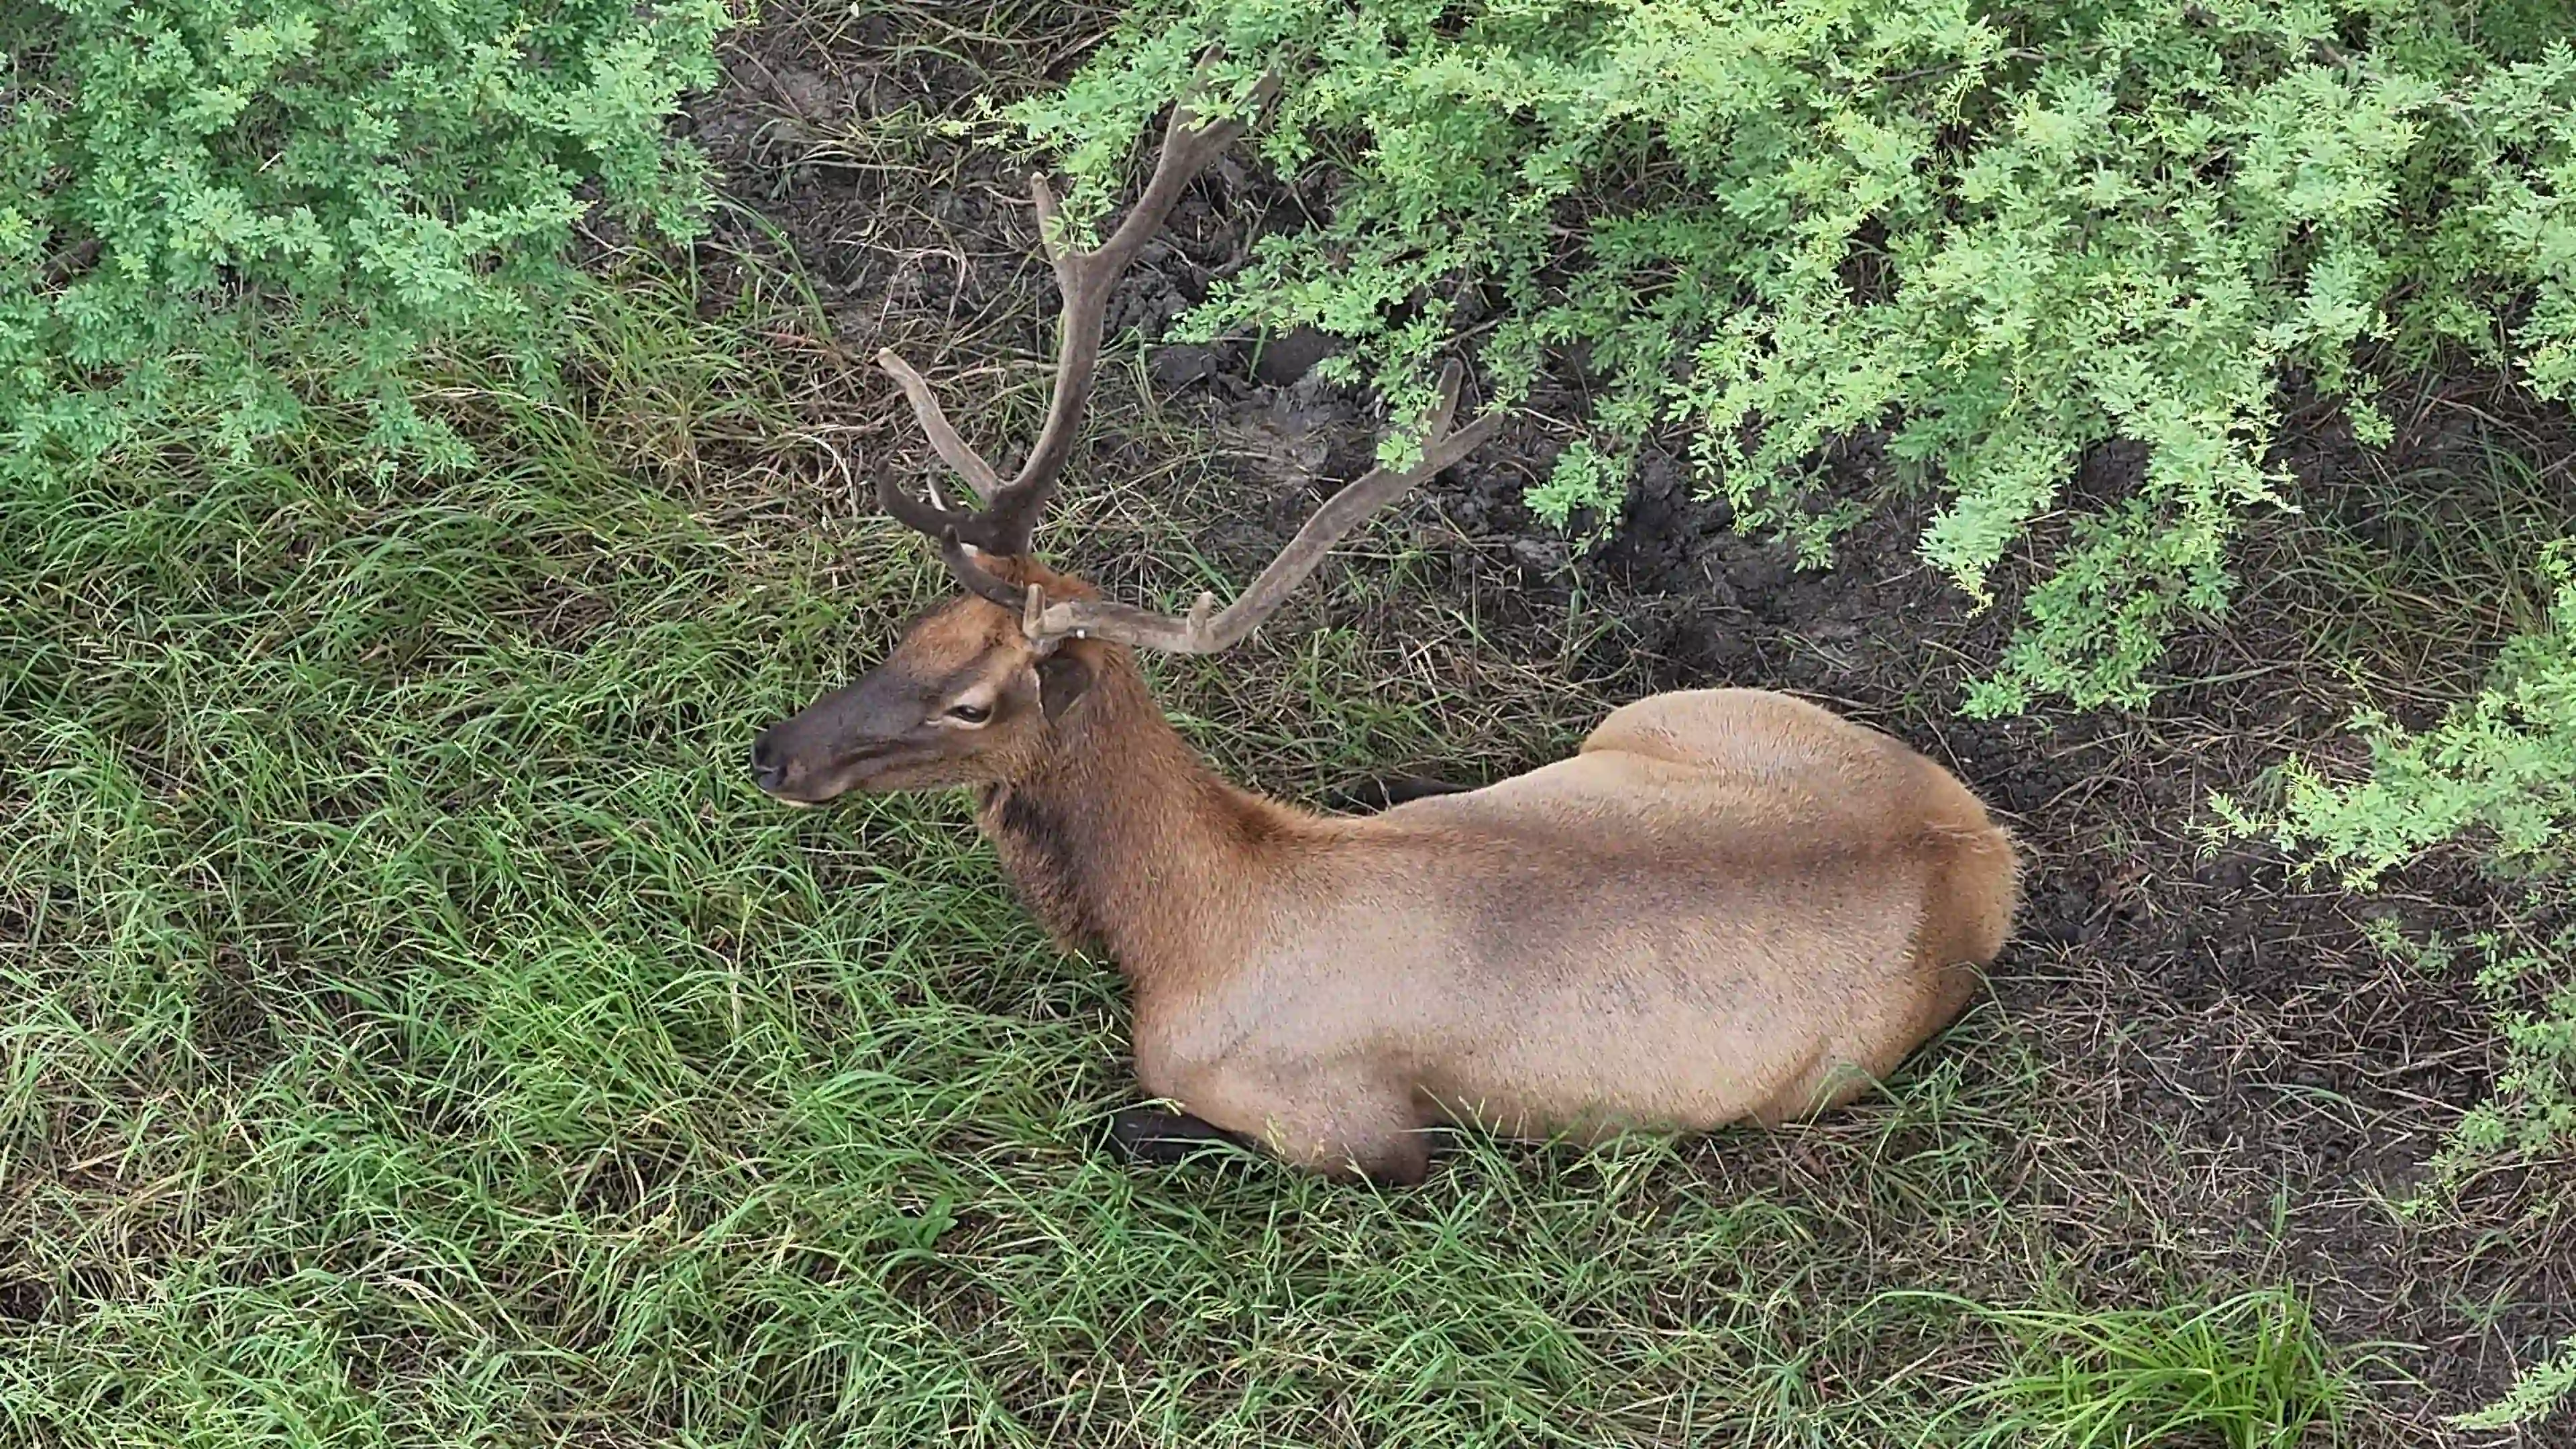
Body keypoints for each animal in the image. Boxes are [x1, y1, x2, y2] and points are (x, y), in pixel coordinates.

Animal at [750, 70, 2020, 1185]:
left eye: (973, 701)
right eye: (920, 627)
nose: (777, 754)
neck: (1178, 938)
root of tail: (1987, 850)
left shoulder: (1359, 1135)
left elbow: (1136, 1124)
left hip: (1824, 1067)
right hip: (1674, 707)